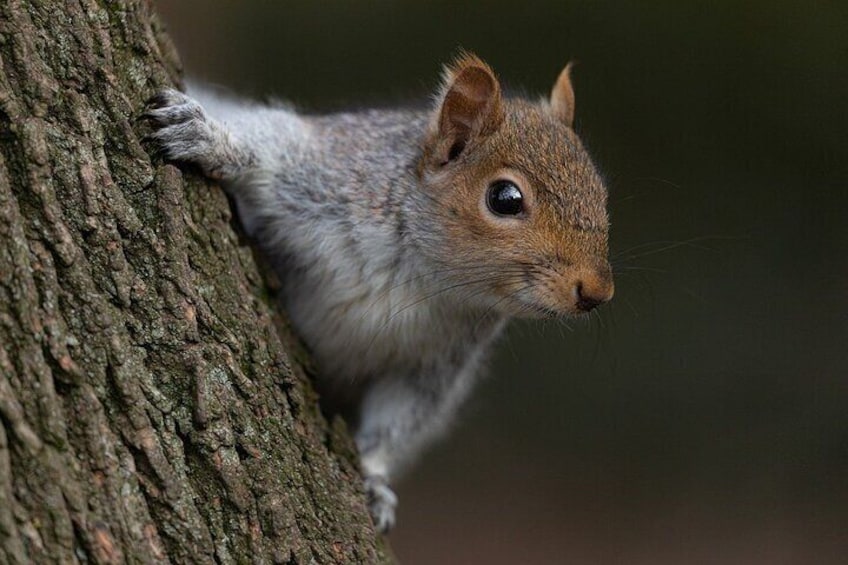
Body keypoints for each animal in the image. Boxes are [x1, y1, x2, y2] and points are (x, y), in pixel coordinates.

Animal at [144, 50, 608, 532]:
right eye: (505, 198)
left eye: (602, 193)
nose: (597, 291)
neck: (422, 274)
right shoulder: (327, 169)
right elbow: (270, 144)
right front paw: (209, 137)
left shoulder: (434, 366)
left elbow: (398, 420)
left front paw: (374, 480)